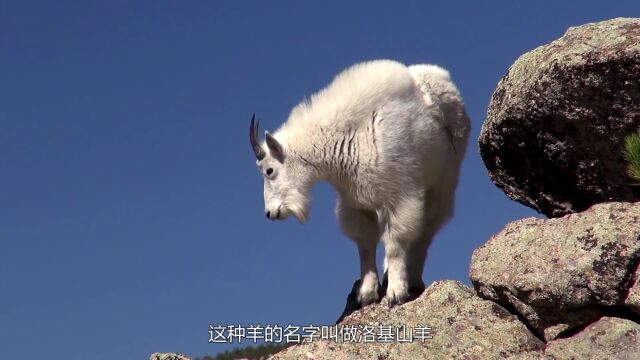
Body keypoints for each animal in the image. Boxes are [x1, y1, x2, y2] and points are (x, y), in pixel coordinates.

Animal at [250, 59, 470, 306]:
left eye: (269, 170)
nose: (270, 213)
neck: (348, 139)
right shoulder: (357, 203)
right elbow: (365, 245)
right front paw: (366, 294)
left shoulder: (400, 197)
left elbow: (395, 243)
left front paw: (395, 293)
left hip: (444, 181)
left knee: (427, 230)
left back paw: (412, 279)